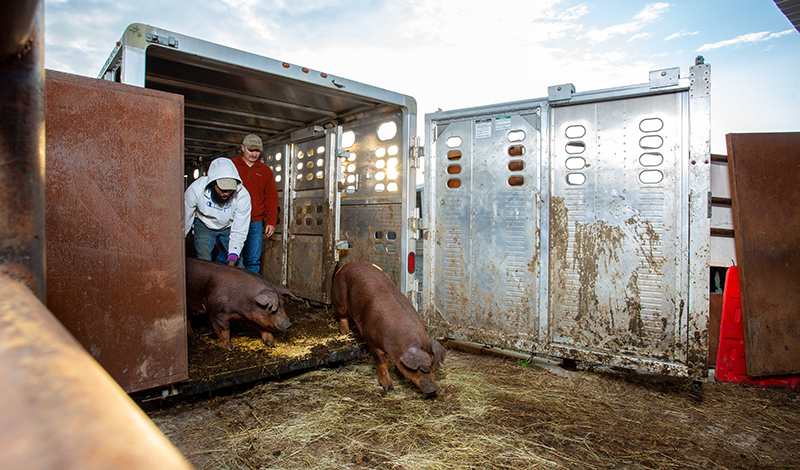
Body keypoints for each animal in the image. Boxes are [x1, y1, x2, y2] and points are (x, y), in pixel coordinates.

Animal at [330, 260, 446, 396]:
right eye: (421, 368)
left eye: (433, 365)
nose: (432, 390)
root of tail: (345, 266)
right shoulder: (372, 342)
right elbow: (382, 364)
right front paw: (388, 388)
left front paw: (398, 374)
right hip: (339, 300)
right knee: (342, 317)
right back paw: (345, 333)